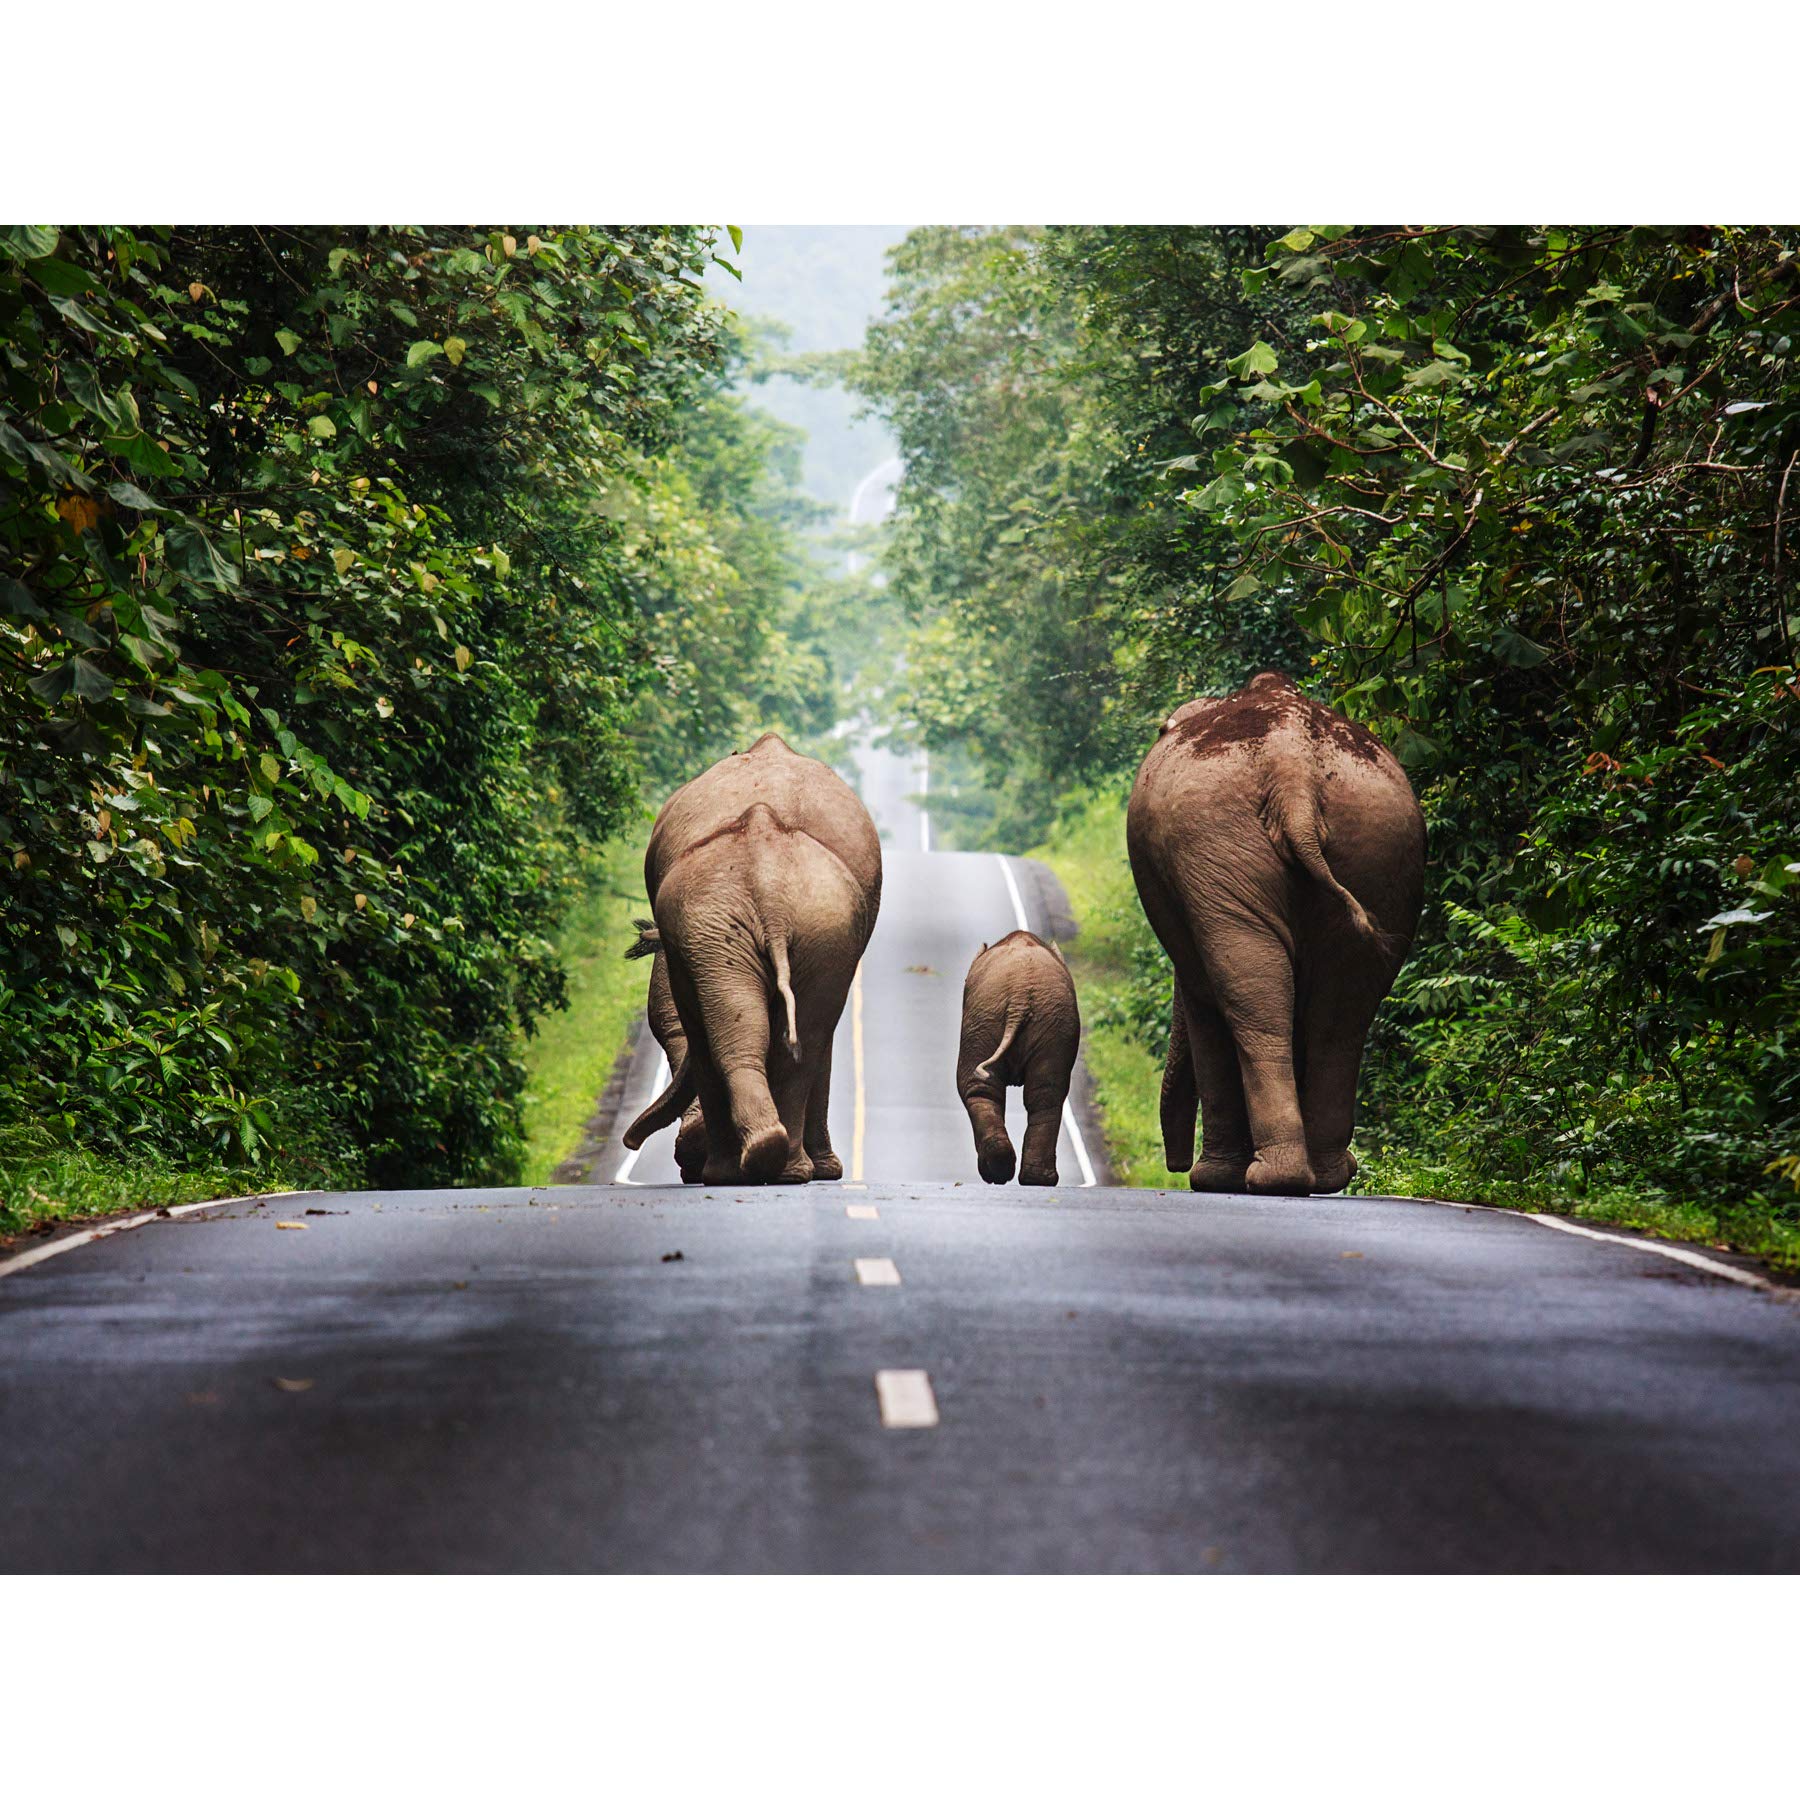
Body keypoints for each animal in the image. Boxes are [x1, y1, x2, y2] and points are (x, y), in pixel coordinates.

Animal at [620, 732, 881, 1184]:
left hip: (782, 922)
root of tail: (767, 879)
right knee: (789, 1032)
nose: (631, 1142)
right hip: (755, 923)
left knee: (775, 1032)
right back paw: (769, 1163)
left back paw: (749, 1167)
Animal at [956, 929, 1081, 1187]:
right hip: (1051, 1023)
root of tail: (1020, 997)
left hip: (988, 1018)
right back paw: (1033, 1178)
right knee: (1046, 1093)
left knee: (977, 1088)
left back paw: (1001, 1174)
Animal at [1125, 671, 1424, 1196]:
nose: (1173, 1165)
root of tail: (1293, 778)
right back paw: (1321, 1177)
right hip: (1371, 846)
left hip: (1222, 841)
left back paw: (1265, 1178)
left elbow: (1201, 1000)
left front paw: (1212, 1179)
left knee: (1257, 1002)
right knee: (1340, 1012)